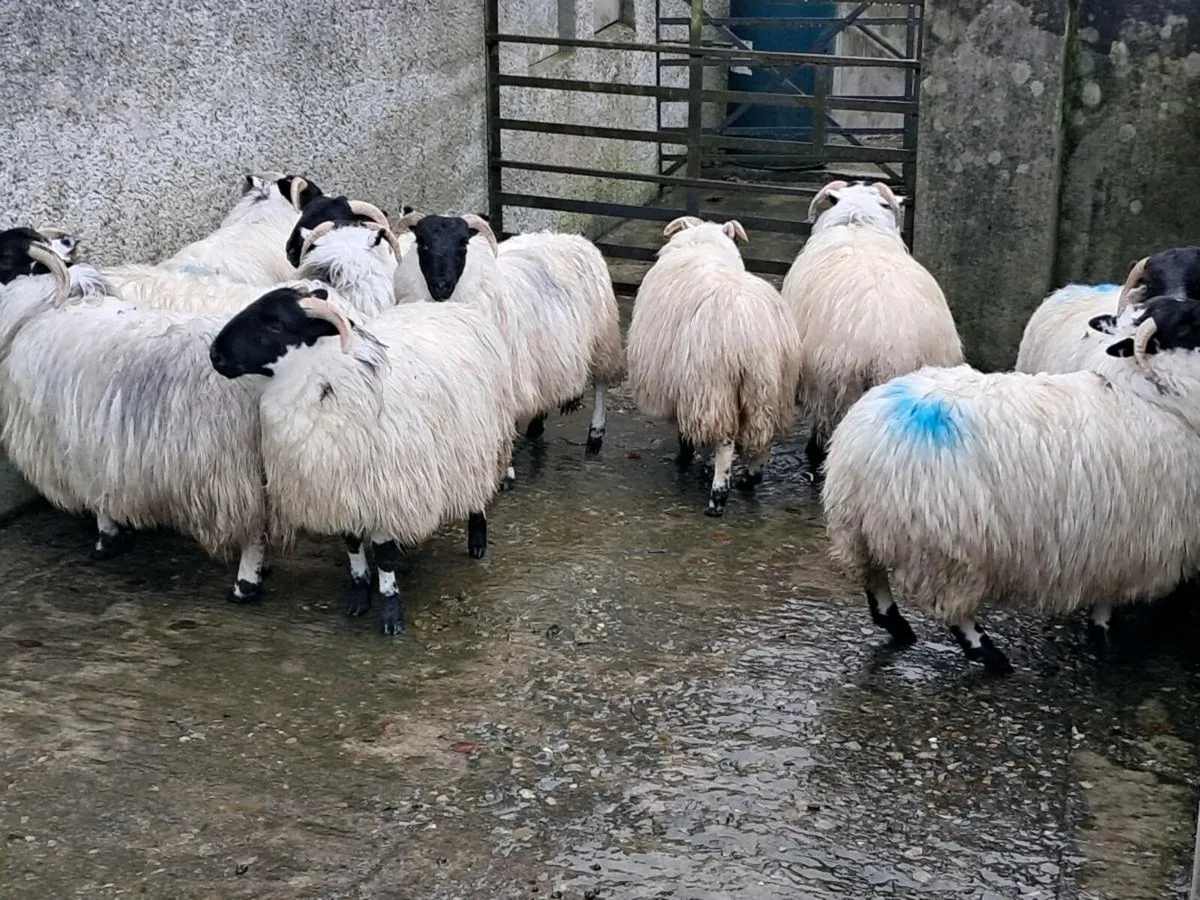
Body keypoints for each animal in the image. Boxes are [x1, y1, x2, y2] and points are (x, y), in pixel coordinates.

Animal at [0, 227, 274, 601]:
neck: (48, 303)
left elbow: (96, 495)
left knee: (253, 528)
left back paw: (245, 584)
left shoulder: (74, 440)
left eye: (4, 255)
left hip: (229, 464)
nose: (71, 240)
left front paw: (106, 539)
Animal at [208, 284, 518, 635]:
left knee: (477, 495)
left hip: (479, 445)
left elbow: (383, 556)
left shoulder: (380, 490)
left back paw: (477, 543)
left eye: (275, 324)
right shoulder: (342, 491)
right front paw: (358, 596)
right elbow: (353, 544)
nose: (215, 355)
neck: (322, 384)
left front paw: (391, 615)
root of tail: (451, 308)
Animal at [393, 212, 625, 483]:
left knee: (601, 385)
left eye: (463, 244)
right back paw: (536, 425)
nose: (442, 286)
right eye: (422, 243)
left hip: (603, 339)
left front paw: (505, 471)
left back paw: (595, 436)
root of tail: (574, 238)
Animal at [625, 216, 801, 516]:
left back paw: (718, 497)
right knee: (763, 436)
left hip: (715, 385)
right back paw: (750, 479)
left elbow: (685, 429)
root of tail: (753, 332)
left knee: (726, 441)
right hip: (770, 389)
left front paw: (685, 457)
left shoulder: (686, 384)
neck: (703, 243)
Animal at [822, 296, 1200, 675]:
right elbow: (1106, 601)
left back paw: (900, 628)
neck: (1146, 395)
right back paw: (989, 655)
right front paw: (1104, 637)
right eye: (1185, 325)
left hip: (859, 531)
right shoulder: (1133, 541)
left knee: (875, 584)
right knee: (954, 613)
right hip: (945, 552)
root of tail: (860, 447)